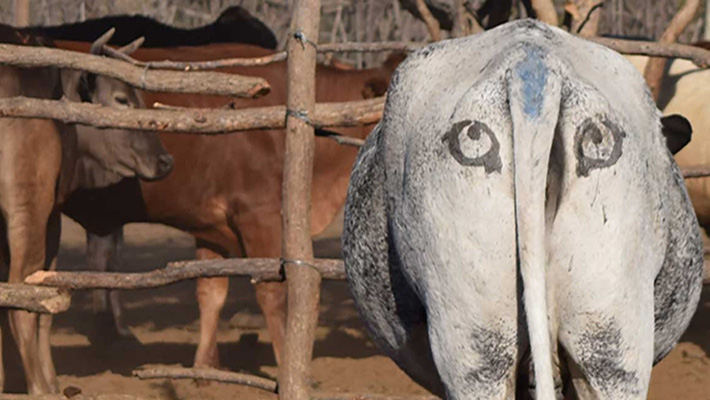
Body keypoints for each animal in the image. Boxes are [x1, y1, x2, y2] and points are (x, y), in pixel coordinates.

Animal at [0, 27, 173, 394]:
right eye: (121, 99)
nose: (166, 161)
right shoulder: (48, 214)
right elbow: (42, 304)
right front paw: (48, 382)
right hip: (28, 211)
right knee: (22, 295)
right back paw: (39, 387)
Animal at [51, 40, 401, 370]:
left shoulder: (209, 224)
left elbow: (211, 293)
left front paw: (204, 366)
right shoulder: (259, 215)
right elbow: (273, 295)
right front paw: (286, 365)